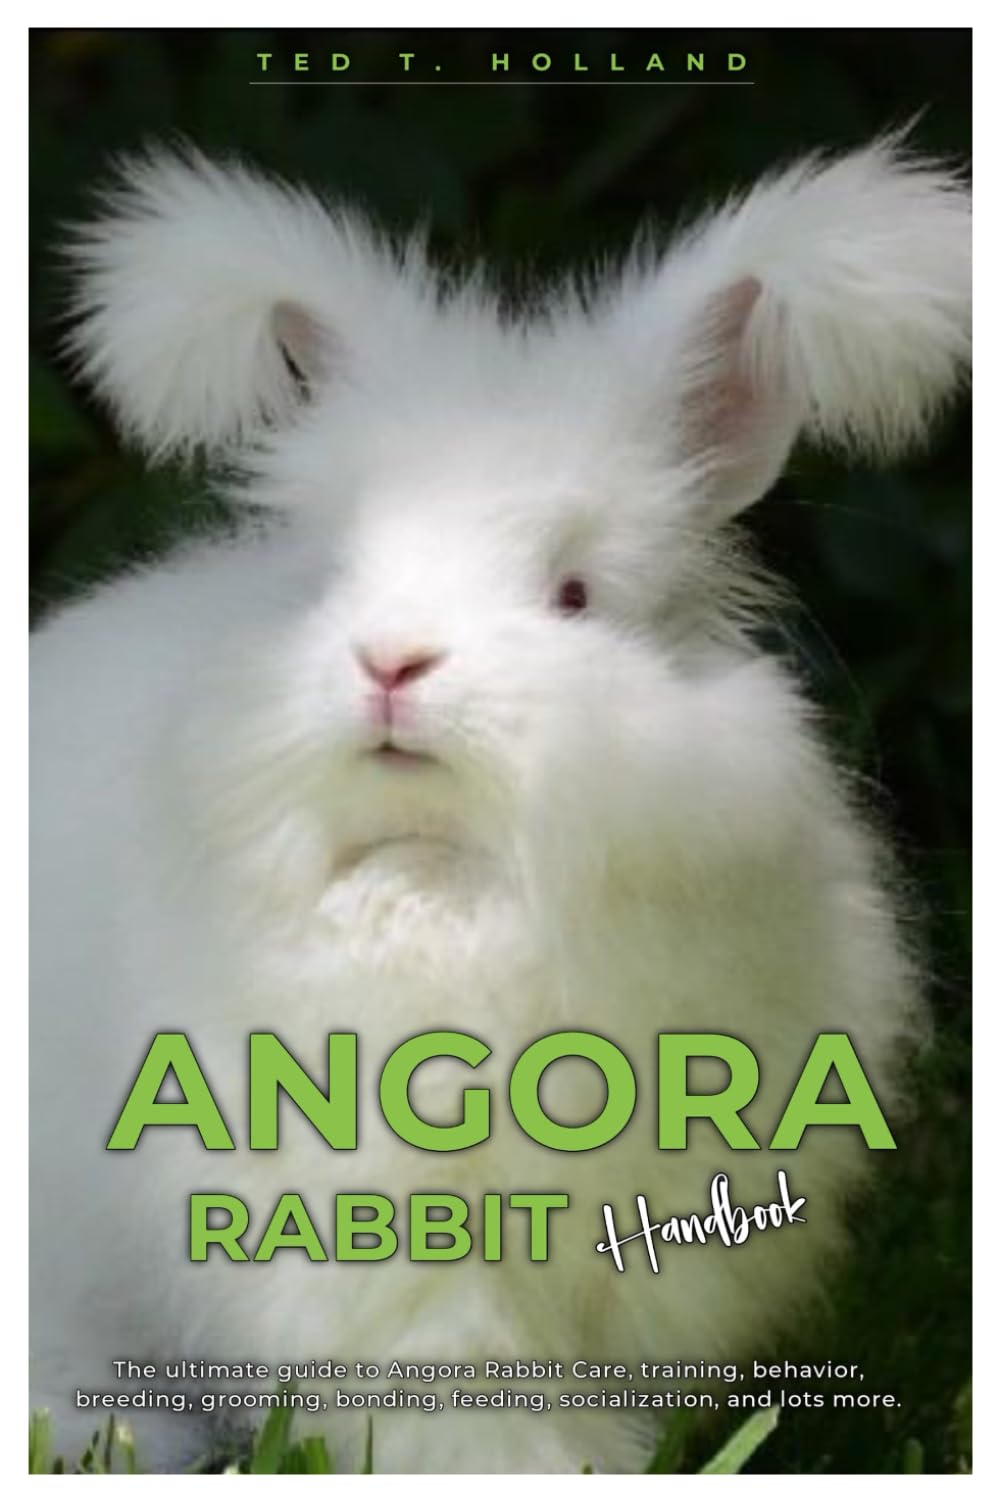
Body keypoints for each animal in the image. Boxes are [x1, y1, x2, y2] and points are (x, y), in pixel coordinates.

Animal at [30, 135, 970, 1475]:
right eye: (333, 576)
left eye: (573, 594)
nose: (390, 662)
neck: (449, 879)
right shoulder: (378, 1245)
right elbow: (454, 1391)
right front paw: (531, 1468)